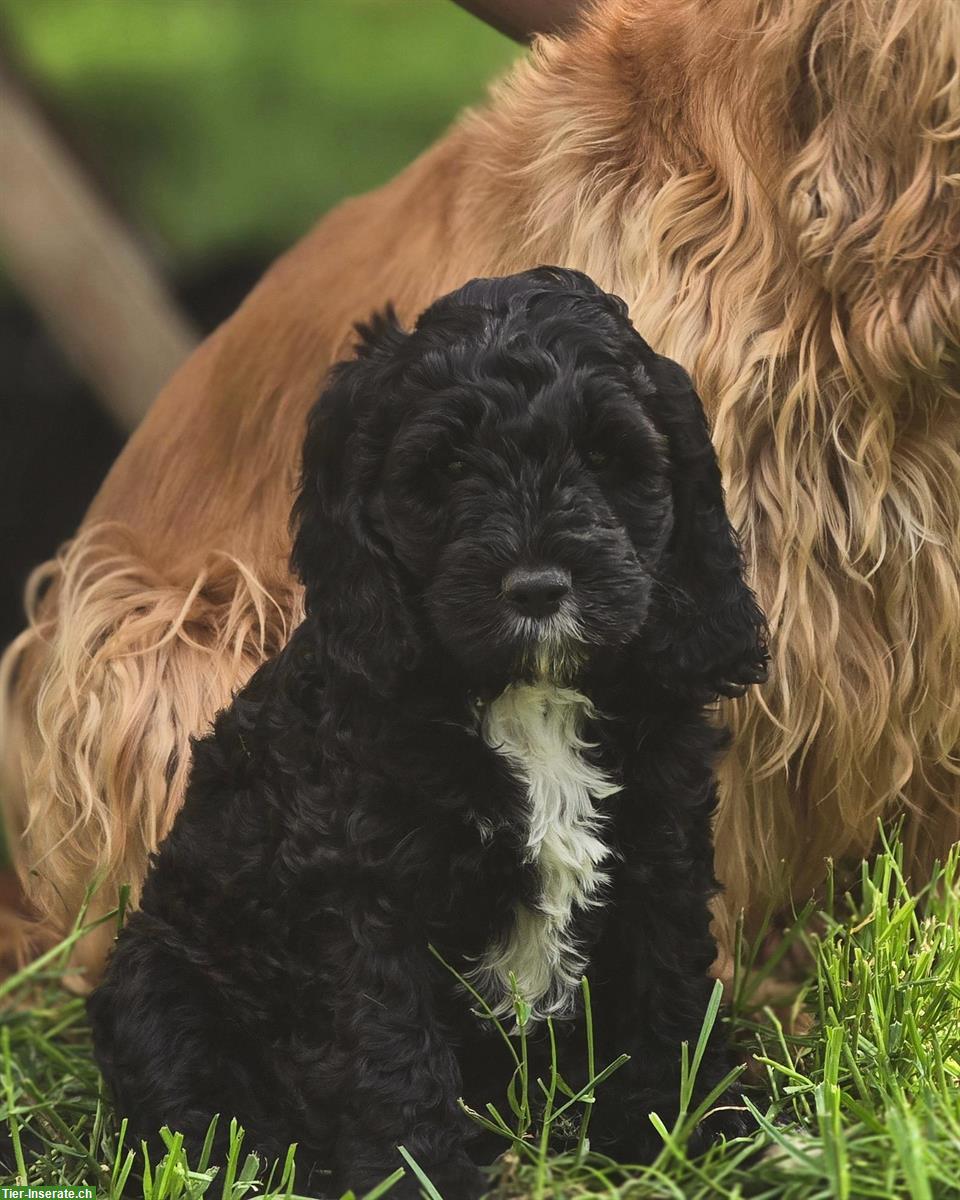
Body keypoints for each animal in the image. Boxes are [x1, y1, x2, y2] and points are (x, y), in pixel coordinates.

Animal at [88, 267, 763, 1195]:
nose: (538, 587)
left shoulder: (659, 851)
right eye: (447, 469)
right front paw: (420, 1175)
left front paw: (689, 1138)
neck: (528, 697)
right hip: (160, 982)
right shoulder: (363, 897)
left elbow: (664, 1001)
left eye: (602, 455)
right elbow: (390, 1052)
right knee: (196, 1106)